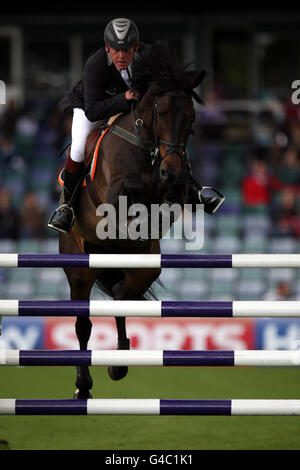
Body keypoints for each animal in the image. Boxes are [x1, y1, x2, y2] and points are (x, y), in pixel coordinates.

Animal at [58, 43, 206, 396]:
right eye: (160, 112)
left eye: (191, 118)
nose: (171, 170)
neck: (146, 147)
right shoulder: (111, 197)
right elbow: (129, 192)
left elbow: (171, 200)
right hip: (79, 265)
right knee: (83, 323)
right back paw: (83, 384)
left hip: (142, 263)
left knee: (126, 292)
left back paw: (120, 360)